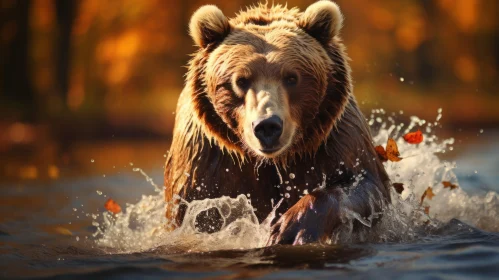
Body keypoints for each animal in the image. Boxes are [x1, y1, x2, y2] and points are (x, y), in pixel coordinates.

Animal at [164, 0, 390, 245]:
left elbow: (366, 184)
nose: (267, 126)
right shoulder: (206, 157)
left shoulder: (333, 139)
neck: (271, 161)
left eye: (292, 77)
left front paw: (291, 227)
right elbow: (197, 208)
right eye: (240, 80)